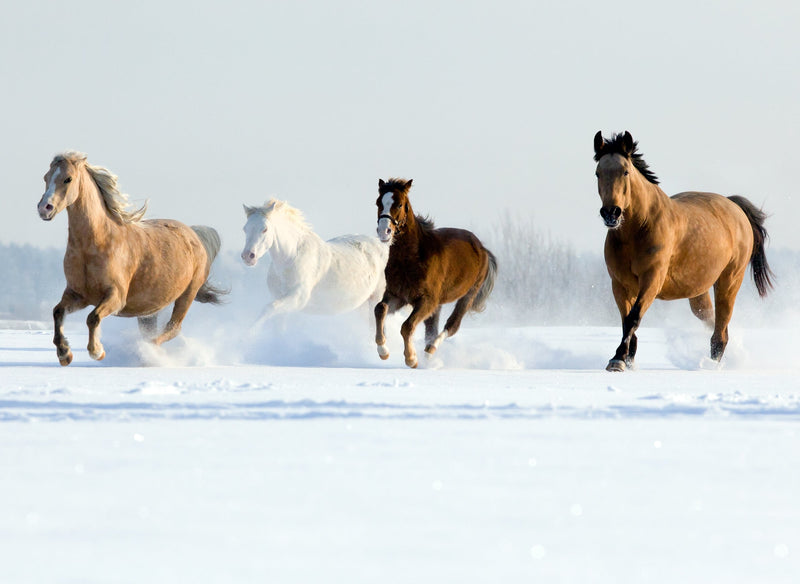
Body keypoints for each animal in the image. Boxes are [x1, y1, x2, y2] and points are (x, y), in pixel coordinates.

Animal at [37, 151, 225, 366]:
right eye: (46, 177)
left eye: (68, 178)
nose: (44, 208)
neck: (96, 244)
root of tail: (195, 235)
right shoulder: (77, 294)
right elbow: (57, 312)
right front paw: (64, 354)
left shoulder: (116, 296)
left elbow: (93, 317)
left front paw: (97, 351)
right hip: (150, 309)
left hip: (188, 293)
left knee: (172, 328)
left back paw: (149, 352)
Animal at [241, 199, 389, 321]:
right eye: (245, 229)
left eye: (265, 229)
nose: (248, 256)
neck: (289, 260)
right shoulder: (280, 299)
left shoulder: (297, 298)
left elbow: (269, 308)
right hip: (362, 306)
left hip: (376, 300)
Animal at [374, 178, 498, 368]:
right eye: (378, 203)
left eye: (400, 204)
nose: (384, 231)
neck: (411, 257)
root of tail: (483, 249)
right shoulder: (397, 295)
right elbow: (380, 309)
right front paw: (383, 351)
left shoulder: (427, 300)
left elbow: (407, 326)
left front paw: (411, 359)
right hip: (438, 304)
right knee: (432, 329)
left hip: (468, 295)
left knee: (452, 326)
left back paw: (429, 353)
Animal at [593, 131, 774, 372]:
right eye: (598, 173)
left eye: (625, 171)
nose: (611, 213)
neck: (639, 229)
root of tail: (735, 207)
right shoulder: (620, 284)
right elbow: (626, 320)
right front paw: (627, 360)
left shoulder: (652, 279)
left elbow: (633, 318)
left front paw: (618, 360)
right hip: (699, 291)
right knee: (713, 321)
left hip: (729, 280)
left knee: (721, 329)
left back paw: (711, 365)